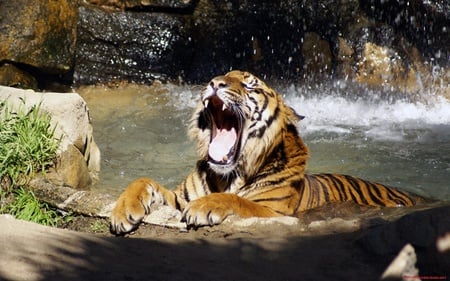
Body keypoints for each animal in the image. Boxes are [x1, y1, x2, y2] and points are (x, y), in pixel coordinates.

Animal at [110, 69, 422, 234]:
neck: (227, 175)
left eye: (249, 84)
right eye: (222, 75)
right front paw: (122, 212)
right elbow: (142, 181)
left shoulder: (275, 211)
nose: (214, 83)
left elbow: (238, 200)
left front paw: (204, 207)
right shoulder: (179, 197)